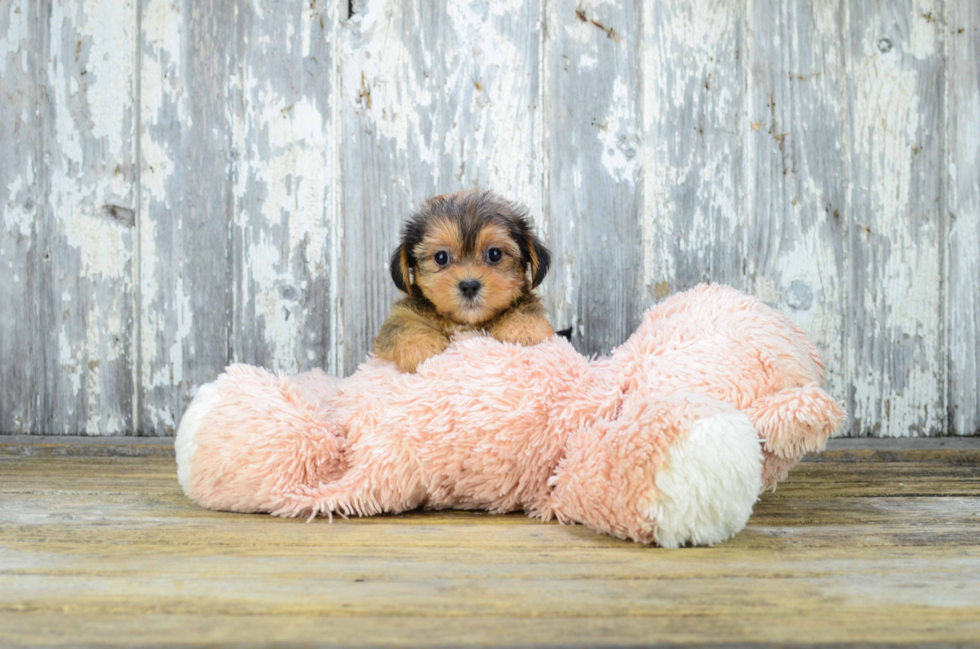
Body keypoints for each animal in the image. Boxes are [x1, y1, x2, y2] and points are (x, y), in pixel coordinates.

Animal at [374, 190, 556, 372]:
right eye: (441, 257)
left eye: (495, 254)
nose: (469, 286)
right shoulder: (404, 311)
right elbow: (401, 323)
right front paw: (419, 346)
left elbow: (528, 307)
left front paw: (523, 329)